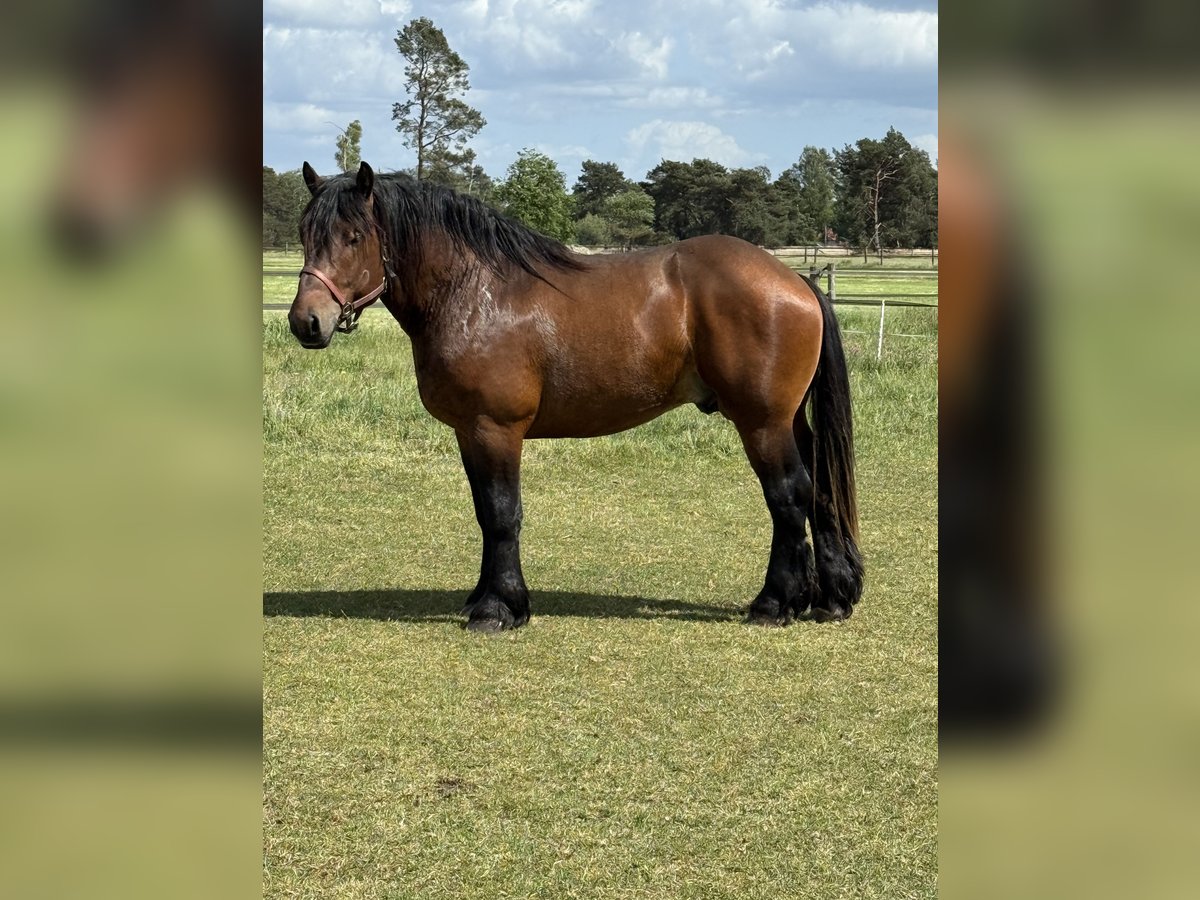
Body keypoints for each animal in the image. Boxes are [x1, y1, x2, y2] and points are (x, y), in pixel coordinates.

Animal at [288, 161, 863, 633]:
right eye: (304, 234)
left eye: (353, 236)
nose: (306, 321)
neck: (472, 292)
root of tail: (796, 281)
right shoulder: (468, 432)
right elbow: (483, 513)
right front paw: (484, 597)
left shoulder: (494, 428)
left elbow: (502, 513)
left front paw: (500, 609)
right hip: (788, 421)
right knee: (819, 490)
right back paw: (830, 597)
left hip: (762, 422)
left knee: (789, 496)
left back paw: (774, 603)